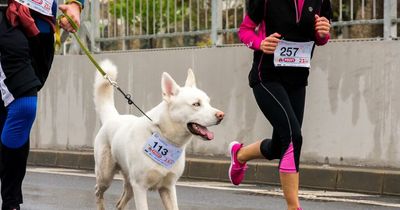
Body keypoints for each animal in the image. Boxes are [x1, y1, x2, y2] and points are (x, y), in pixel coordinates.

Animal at [94, 59, 225, 210]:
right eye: (196, 104)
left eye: (208, 102)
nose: (221, 115)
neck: (164, 136)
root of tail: (113, 117)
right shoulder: (140, 187)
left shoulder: (168, 187)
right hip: (106, 176)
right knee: (98, 192)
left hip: (129, 185)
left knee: (120, 203)